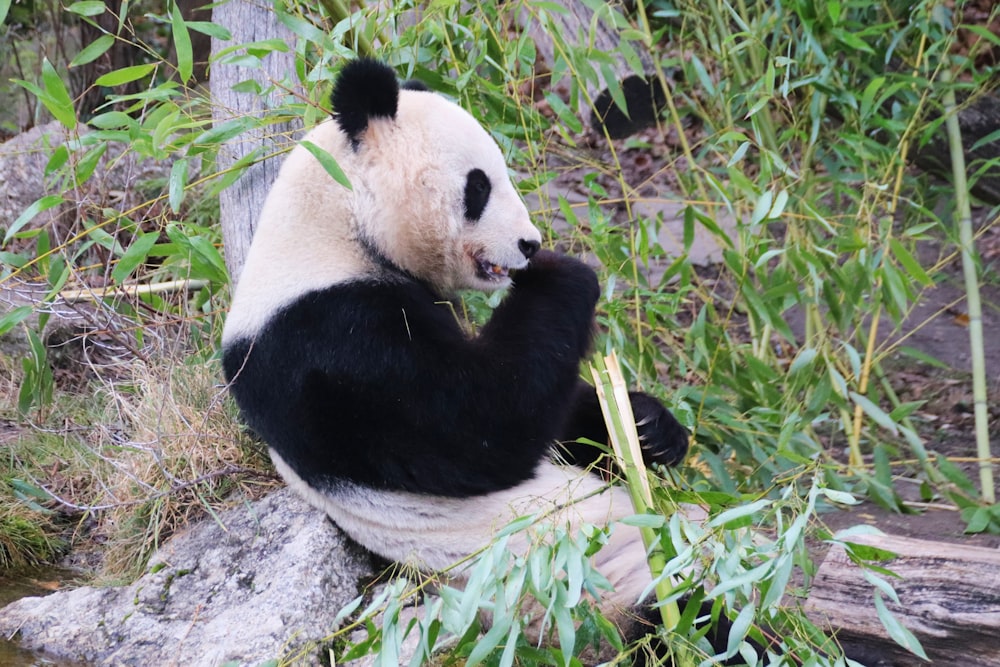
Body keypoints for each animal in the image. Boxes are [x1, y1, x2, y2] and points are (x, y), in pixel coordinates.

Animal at [221, 60, 744, 664]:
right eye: (478, 186)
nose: (528, 244)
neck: (333, 228)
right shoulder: (329, 345)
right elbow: (481, 427)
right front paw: (561, 272)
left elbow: (554, 418)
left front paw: (649, 428)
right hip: (596, 592)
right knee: (702, 623)